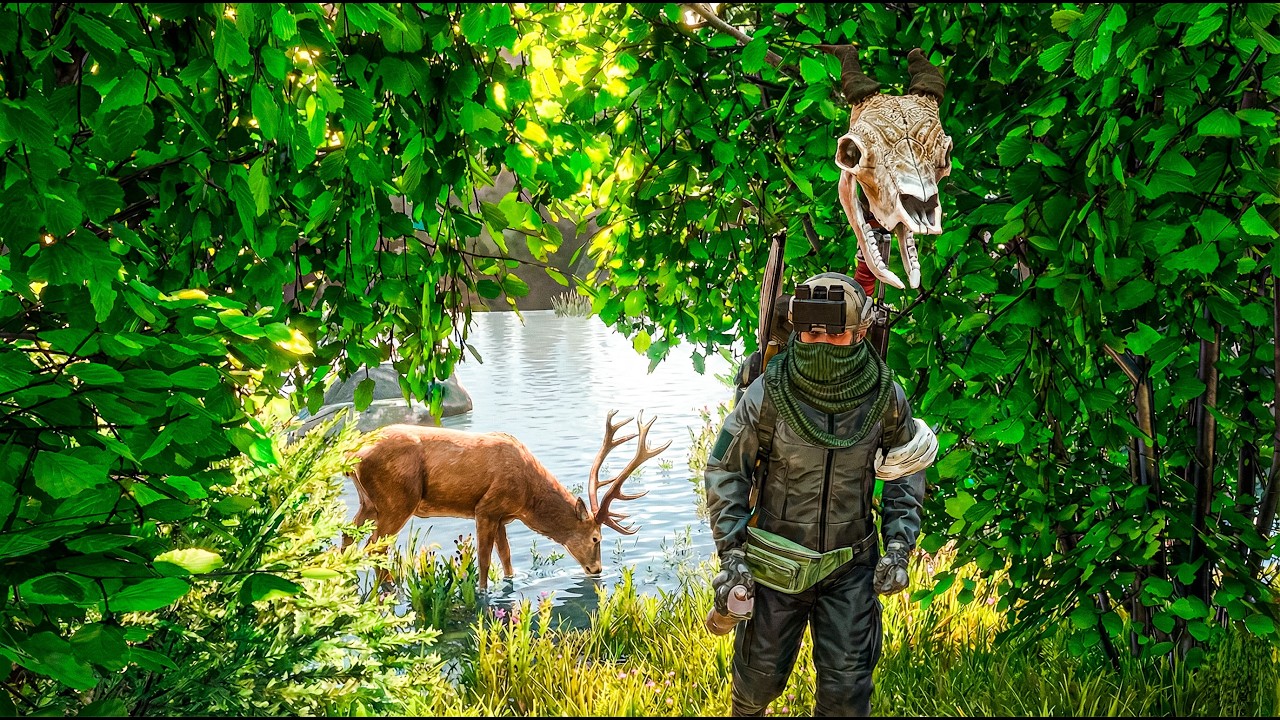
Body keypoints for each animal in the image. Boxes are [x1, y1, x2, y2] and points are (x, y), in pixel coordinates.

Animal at [346, 410, 671, 590]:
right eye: (596, 538)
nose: (597, 570)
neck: (527, 497)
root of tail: (354, 455)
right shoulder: (485, 508)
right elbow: (484, 560)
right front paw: (483, 592)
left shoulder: (502, 516)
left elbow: (507, 557)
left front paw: (512, 583)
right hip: (397, 499)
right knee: (375, 545)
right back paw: (389, 587)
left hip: (369, 503)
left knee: (349, 536)